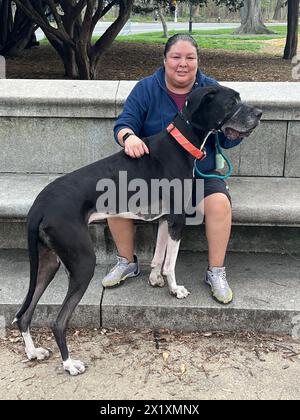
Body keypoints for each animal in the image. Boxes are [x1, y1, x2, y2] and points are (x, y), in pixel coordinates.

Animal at [14, 85, 262, 374]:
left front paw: (155, 278)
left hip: (48, 261)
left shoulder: (165, 219)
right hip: (82, 262)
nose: (259, 113)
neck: (182, 142)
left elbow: (159, 255)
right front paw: (174, 289)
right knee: (58, 321)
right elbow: (170, 263)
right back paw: (69, 364)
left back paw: (33, 351)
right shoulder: (178, 218)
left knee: (24, 313)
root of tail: (39, 206)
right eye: (231, 102)